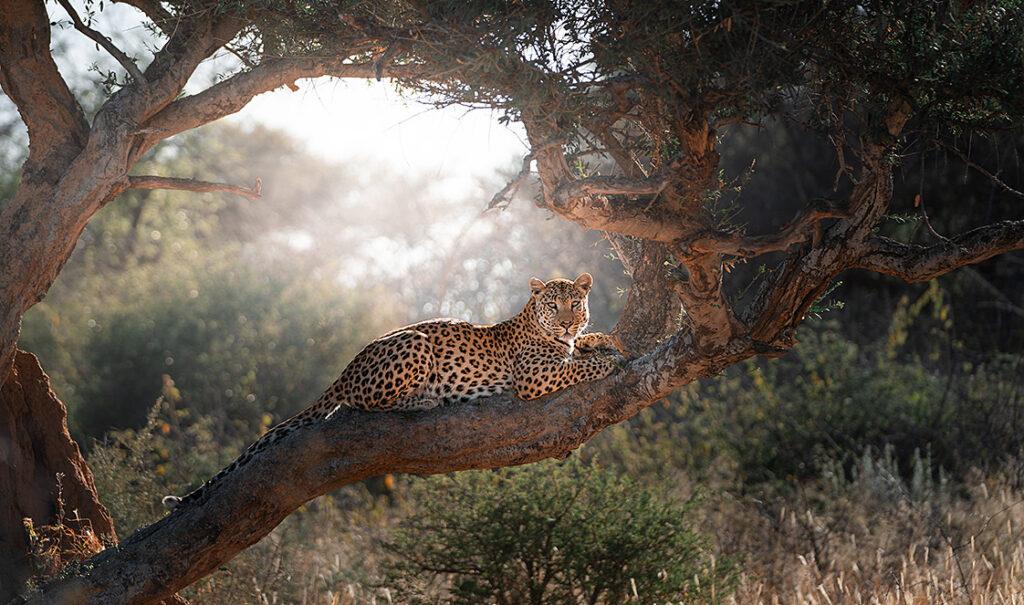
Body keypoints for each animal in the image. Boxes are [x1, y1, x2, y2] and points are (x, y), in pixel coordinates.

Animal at [162, 272, 623, 510]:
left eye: (575, 304)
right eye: (553, 305)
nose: (567, 321)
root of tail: (347, 367)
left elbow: (584, 346)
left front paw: (605, 340)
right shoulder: (534, 376)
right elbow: (578, 367)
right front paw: (608, 361)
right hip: (414, 343)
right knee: (365, 402)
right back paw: (428, 397)